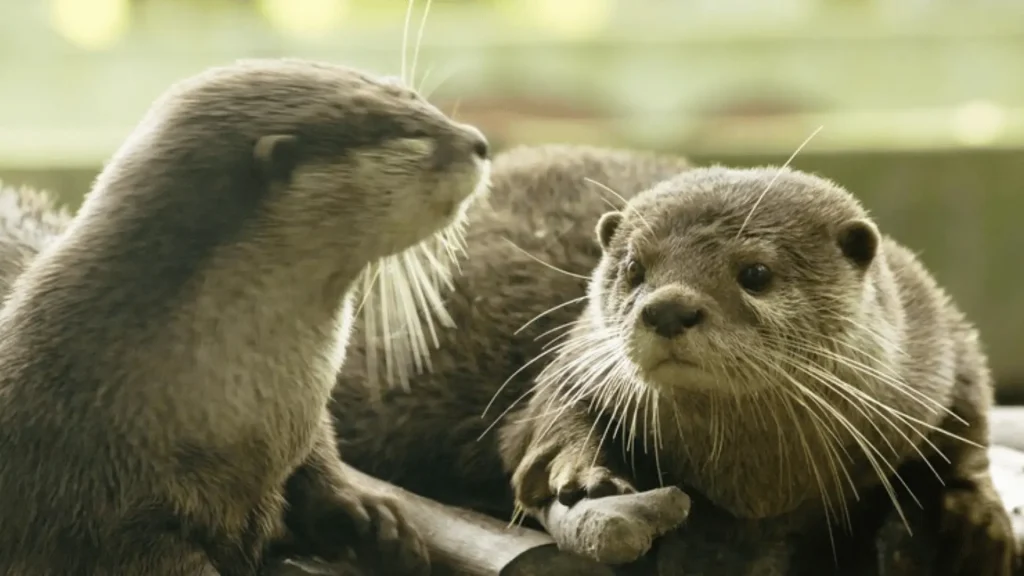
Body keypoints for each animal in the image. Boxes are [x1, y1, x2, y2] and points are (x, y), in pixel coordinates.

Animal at [0, 58, 489, 576]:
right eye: (410, 138)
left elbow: (314, 462)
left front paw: (369, 515)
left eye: (410, 95)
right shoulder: (84, 509)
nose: (480, 142)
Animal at [326, 148, 1016, 575]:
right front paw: (581, 473)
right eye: (635, 268)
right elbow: (535, 429)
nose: (669, 308)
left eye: (755, 273)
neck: (760, 486)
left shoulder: (938, 338)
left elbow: (967, 426)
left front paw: (974, 521)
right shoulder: (574, 358)